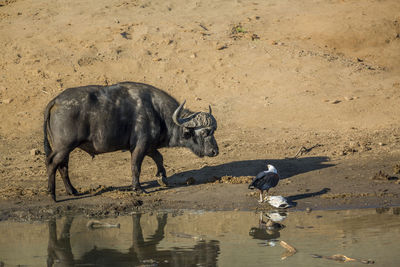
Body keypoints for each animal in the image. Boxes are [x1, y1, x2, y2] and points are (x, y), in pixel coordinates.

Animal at [43, 81, 219, 201]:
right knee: (52, 163)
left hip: (66, 148)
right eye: (205, 132)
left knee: (63, 167)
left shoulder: (149, 146)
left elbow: (159, 158)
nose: (215, 151)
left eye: (214, 131)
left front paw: (162, 178)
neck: (157, 112)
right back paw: (52, 194)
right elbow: (136, 167)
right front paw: (138, 188)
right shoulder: (140, 147)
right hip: (64, 146)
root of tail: (56, 101)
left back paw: (72, 191)